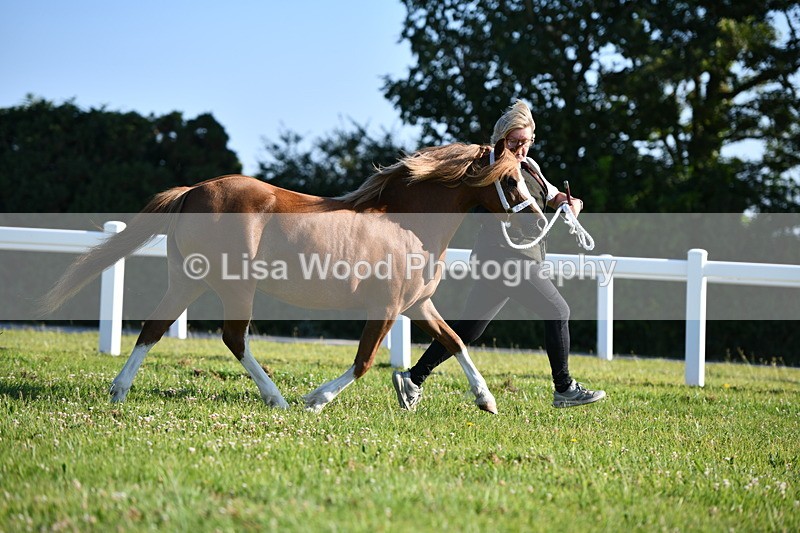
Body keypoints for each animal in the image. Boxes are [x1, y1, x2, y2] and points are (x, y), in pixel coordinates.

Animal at [41, 141, 543, 413]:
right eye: (511, 180)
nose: (537, 221)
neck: (407, 224)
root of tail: (193, 191)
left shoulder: (416, 304)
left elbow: (455, 340)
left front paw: (486, 400)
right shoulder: (384, 308)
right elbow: (363, 361)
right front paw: (315, 399)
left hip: (187, 279)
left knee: (154, 327)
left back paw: (119, 391)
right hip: (235, 286)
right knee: (233, 337)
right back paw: (277, 398)